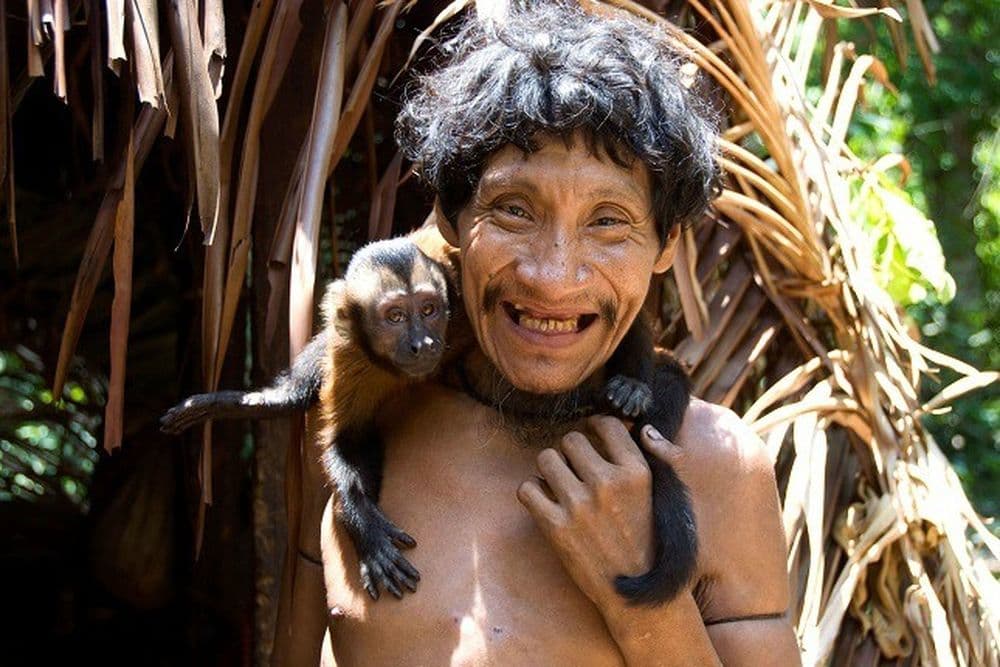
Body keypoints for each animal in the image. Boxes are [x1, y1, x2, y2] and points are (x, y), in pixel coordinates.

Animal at [161, 226, 697, 606]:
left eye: (430, 309)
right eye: (396, 317)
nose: (423, 342)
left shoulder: (465, 301)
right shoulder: (353, 352)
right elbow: (348, 438)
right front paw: (364, 523)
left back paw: (630, 381)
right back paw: (275, 398)